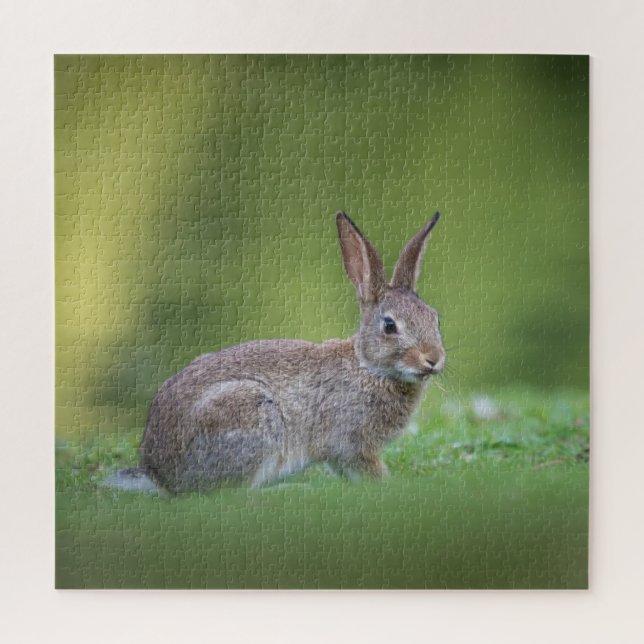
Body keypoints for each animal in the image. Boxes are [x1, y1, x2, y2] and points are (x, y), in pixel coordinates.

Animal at [104, 211, 445, 493]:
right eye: (390, 326)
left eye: (434, 317)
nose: (433, 359)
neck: (368, 367)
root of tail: (160, 474)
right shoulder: (350, 442)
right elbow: (364, 467)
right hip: (250, 417)